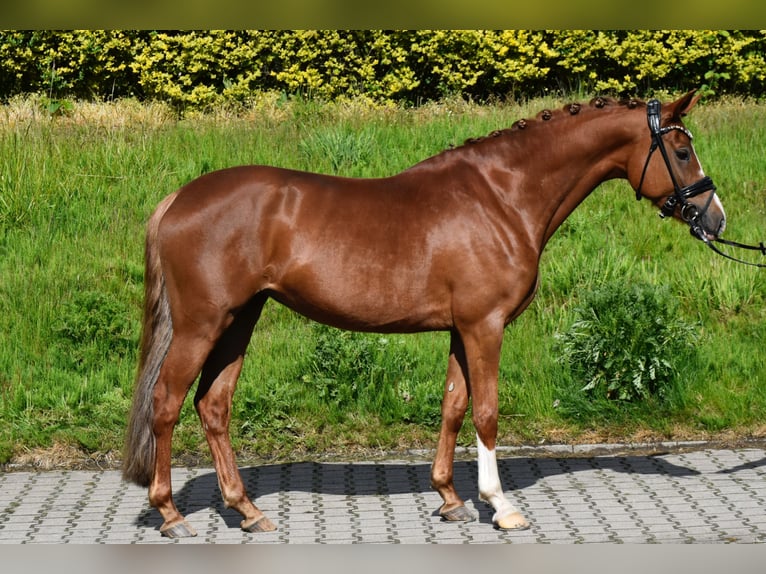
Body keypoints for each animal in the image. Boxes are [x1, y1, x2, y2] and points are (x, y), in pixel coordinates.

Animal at [122, 91, 726, 538]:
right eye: (680, 151)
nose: (715, 218)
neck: (501, 198)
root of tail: (178, 199)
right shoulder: (485, 327)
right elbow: (486, 412)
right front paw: (500, 506)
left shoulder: (462, 329)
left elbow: (454, 407)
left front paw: (450, 499)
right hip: (202, 324)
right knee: (167, 402)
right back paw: (170, 514)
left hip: (239, 320)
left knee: (213, 404)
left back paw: (247, 512)